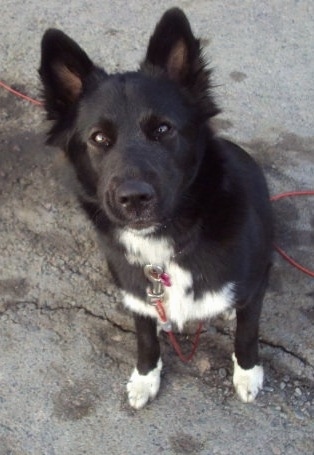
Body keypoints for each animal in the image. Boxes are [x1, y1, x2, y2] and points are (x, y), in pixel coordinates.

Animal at [40, 8, 272, 412]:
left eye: (163, 129)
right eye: (99, 138)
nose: (133, 198)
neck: (167, 244)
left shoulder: (253, 289)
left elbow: (247, 331)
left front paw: (247, 373)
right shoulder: (139, 297)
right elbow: (146, 337)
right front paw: (146, 378)